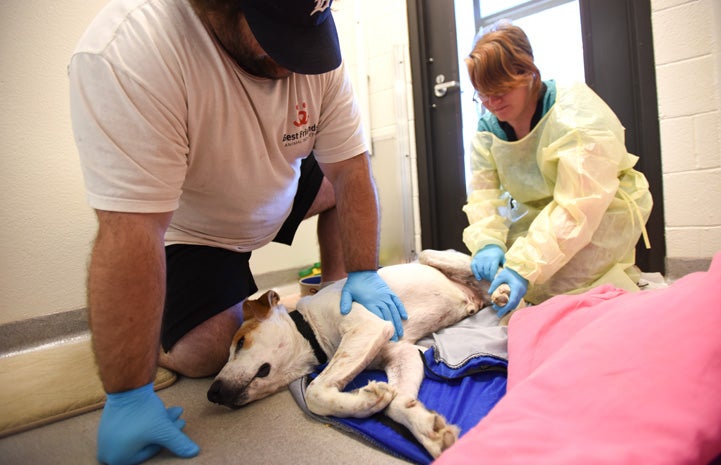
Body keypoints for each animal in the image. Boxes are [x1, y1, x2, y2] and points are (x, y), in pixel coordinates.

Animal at [205, 250, 516, 456]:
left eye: (241, 342)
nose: (212, 393)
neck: (312, 329)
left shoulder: (367, 328)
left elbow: (315, 393)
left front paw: (364, 397)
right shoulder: (400, 353)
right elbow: (397, 402)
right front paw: (429, 431)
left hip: (433, 255)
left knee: (502, 275)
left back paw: (506, 295)